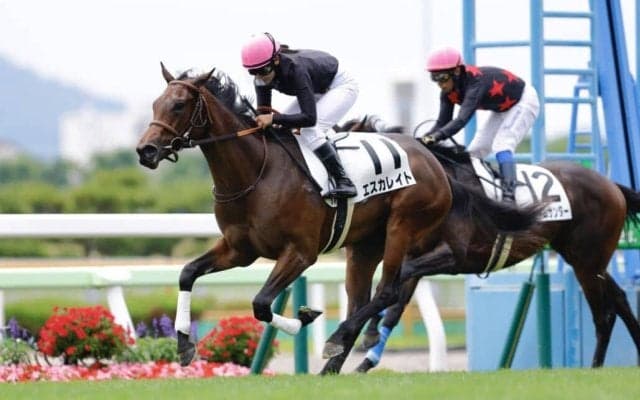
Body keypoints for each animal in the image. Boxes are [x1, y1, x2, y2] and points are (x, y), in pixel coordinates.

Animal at [136, 65, 541, 374]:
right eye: (155, 103)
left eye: (179, 105)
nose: (145, 150)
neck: (256, 172)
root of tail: (432, 158)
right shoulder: (239, 250)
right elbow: (188, 273)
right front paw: (184, 345)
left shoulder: (300, 253)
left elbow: (262, 303)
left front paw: (305, 317)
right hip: (364, 246)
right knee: (361, 298)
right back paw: (336, 358)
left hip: (403, 227)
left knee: (387, 290)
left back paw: (336, 342)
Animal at [345, 119, 640, 372]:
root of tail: (611, 185)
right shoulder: (416, 255)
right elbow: (395, 310)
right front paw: (365, 360)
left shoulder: (452, 255)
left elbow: (395, 285)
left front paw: (364, 336)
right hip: (588, 260)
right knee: (620, 299)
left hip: (587, 262)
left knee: (603, 315)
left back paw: (595, 366)